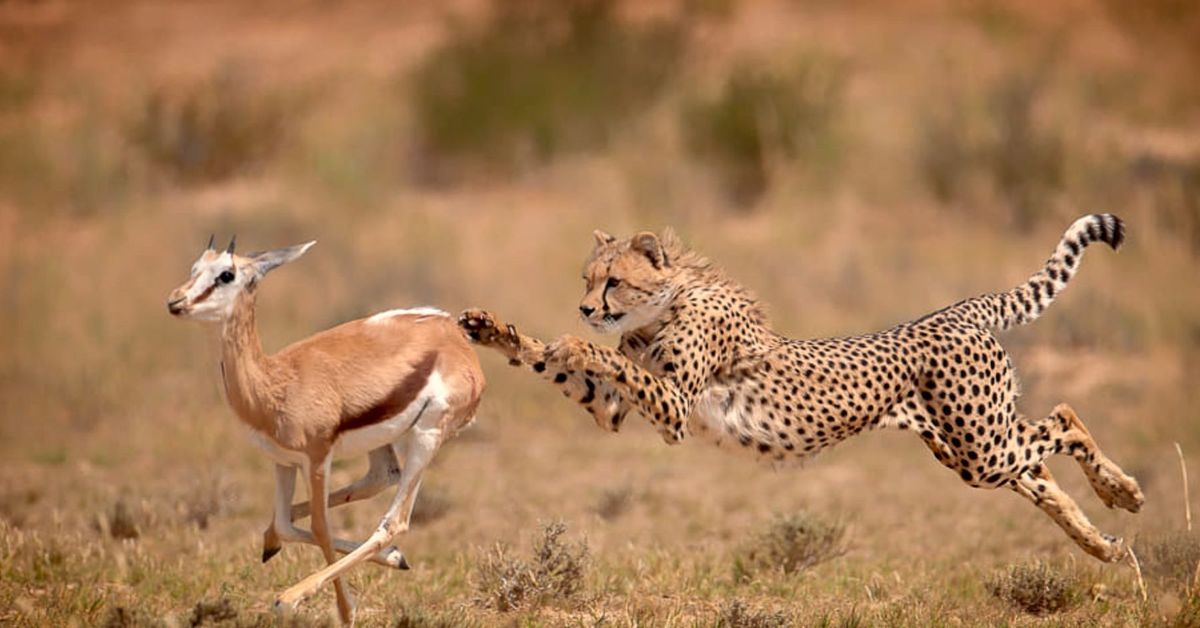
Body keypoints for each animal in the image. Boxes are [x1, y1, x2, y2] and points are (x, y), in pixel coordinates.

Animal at [458, 214, 1142, 559]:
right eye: (587, 278)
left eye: (613, 282)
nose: (584, 309)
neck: (662, 307)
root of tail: (956, 309)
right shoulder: (617, 408)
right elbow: (561, 367)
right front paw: (495, 330)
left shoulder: (675, 406)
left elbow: (602, 359)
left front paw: (574, 344)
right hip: (970, 449)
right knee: (1039, 469)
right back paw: (1102, 545)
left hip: (980, 443)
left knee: (1065, 416)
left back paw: (1122, 491)